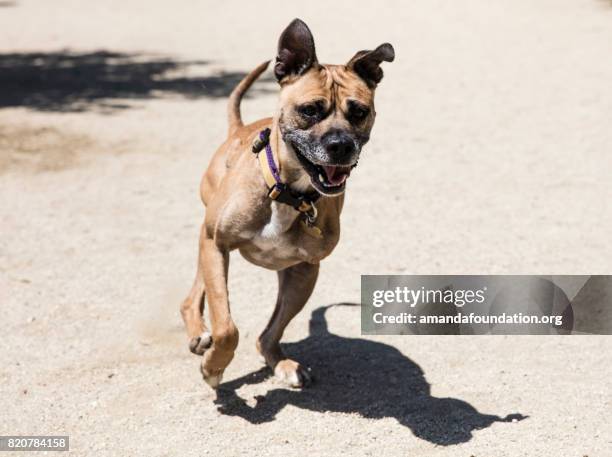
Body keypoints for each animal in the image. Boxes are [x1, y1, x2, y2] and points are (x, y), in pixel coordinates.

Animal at [179, 18, 394, 388]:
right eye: (309, 110)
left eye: (359, 112)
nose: (340, 145)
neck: (288, 192)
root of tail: (237, 128)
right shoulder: (215, 245)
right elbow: (226, 327)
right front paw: (214, 367)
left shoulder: (305, 270)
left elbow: (268, 330)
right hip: (206, 244)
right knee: (193, 299)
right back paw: (199, 335)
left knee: (267, 334)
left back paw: (280, 362)